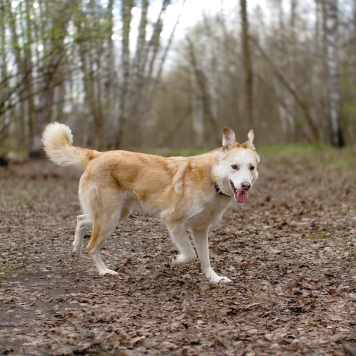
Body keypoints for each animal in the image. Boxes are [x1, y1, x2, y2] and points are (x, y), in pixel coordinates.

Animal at [41, 124, 260, 282]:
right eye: (234, 167)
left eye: (251, 167)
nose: (246, 186)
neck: (211, 179)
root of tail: (96, 155)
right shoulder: (173, 222)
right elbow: (190, 255)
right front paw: (174, 261)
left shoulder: (200, 229)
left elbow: (205, 258)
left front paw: (214, 279)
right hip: (109, 218)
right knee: (92, 247)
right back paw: (104, 271)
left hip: (117, 213)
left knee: (81, 219)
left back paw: (76, 247)